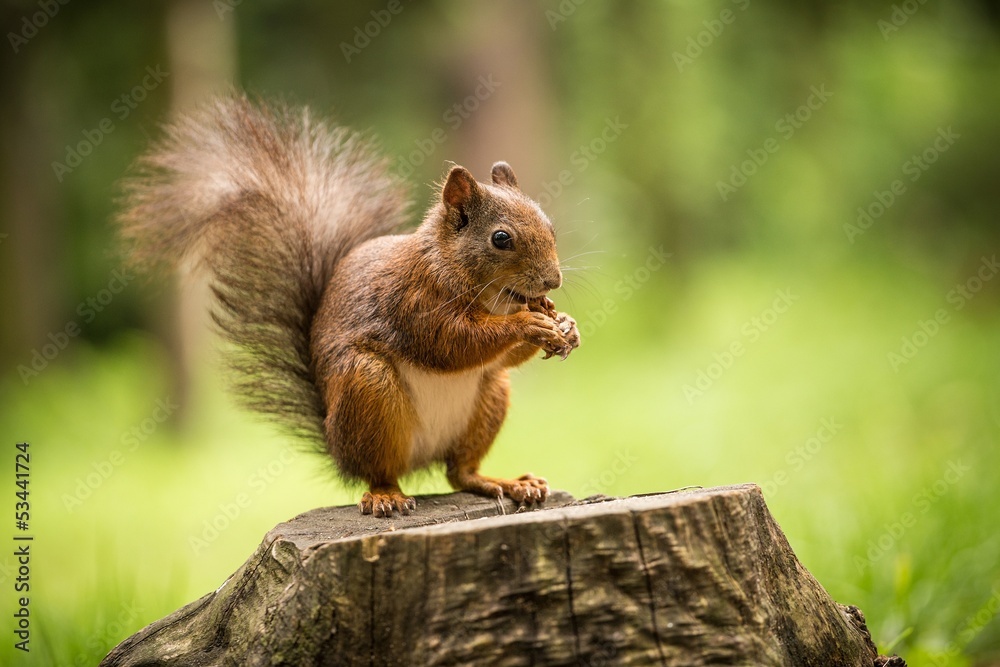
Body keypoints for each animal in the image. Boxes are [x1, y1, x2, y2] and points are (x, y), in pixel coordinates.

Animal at [118, 95, 580, 517]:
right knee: (380, 470)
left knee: (460, 471)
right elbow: (451, 343)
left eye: (549, 224)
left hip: (490, 394)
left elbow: (499, 355)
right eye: (501, 239)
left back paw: (506, 483)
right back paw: (386, 496)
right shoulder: (414, 302)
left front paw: (565, 325)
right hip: (367, 387)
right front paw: (529, 325)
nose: (552, 280)